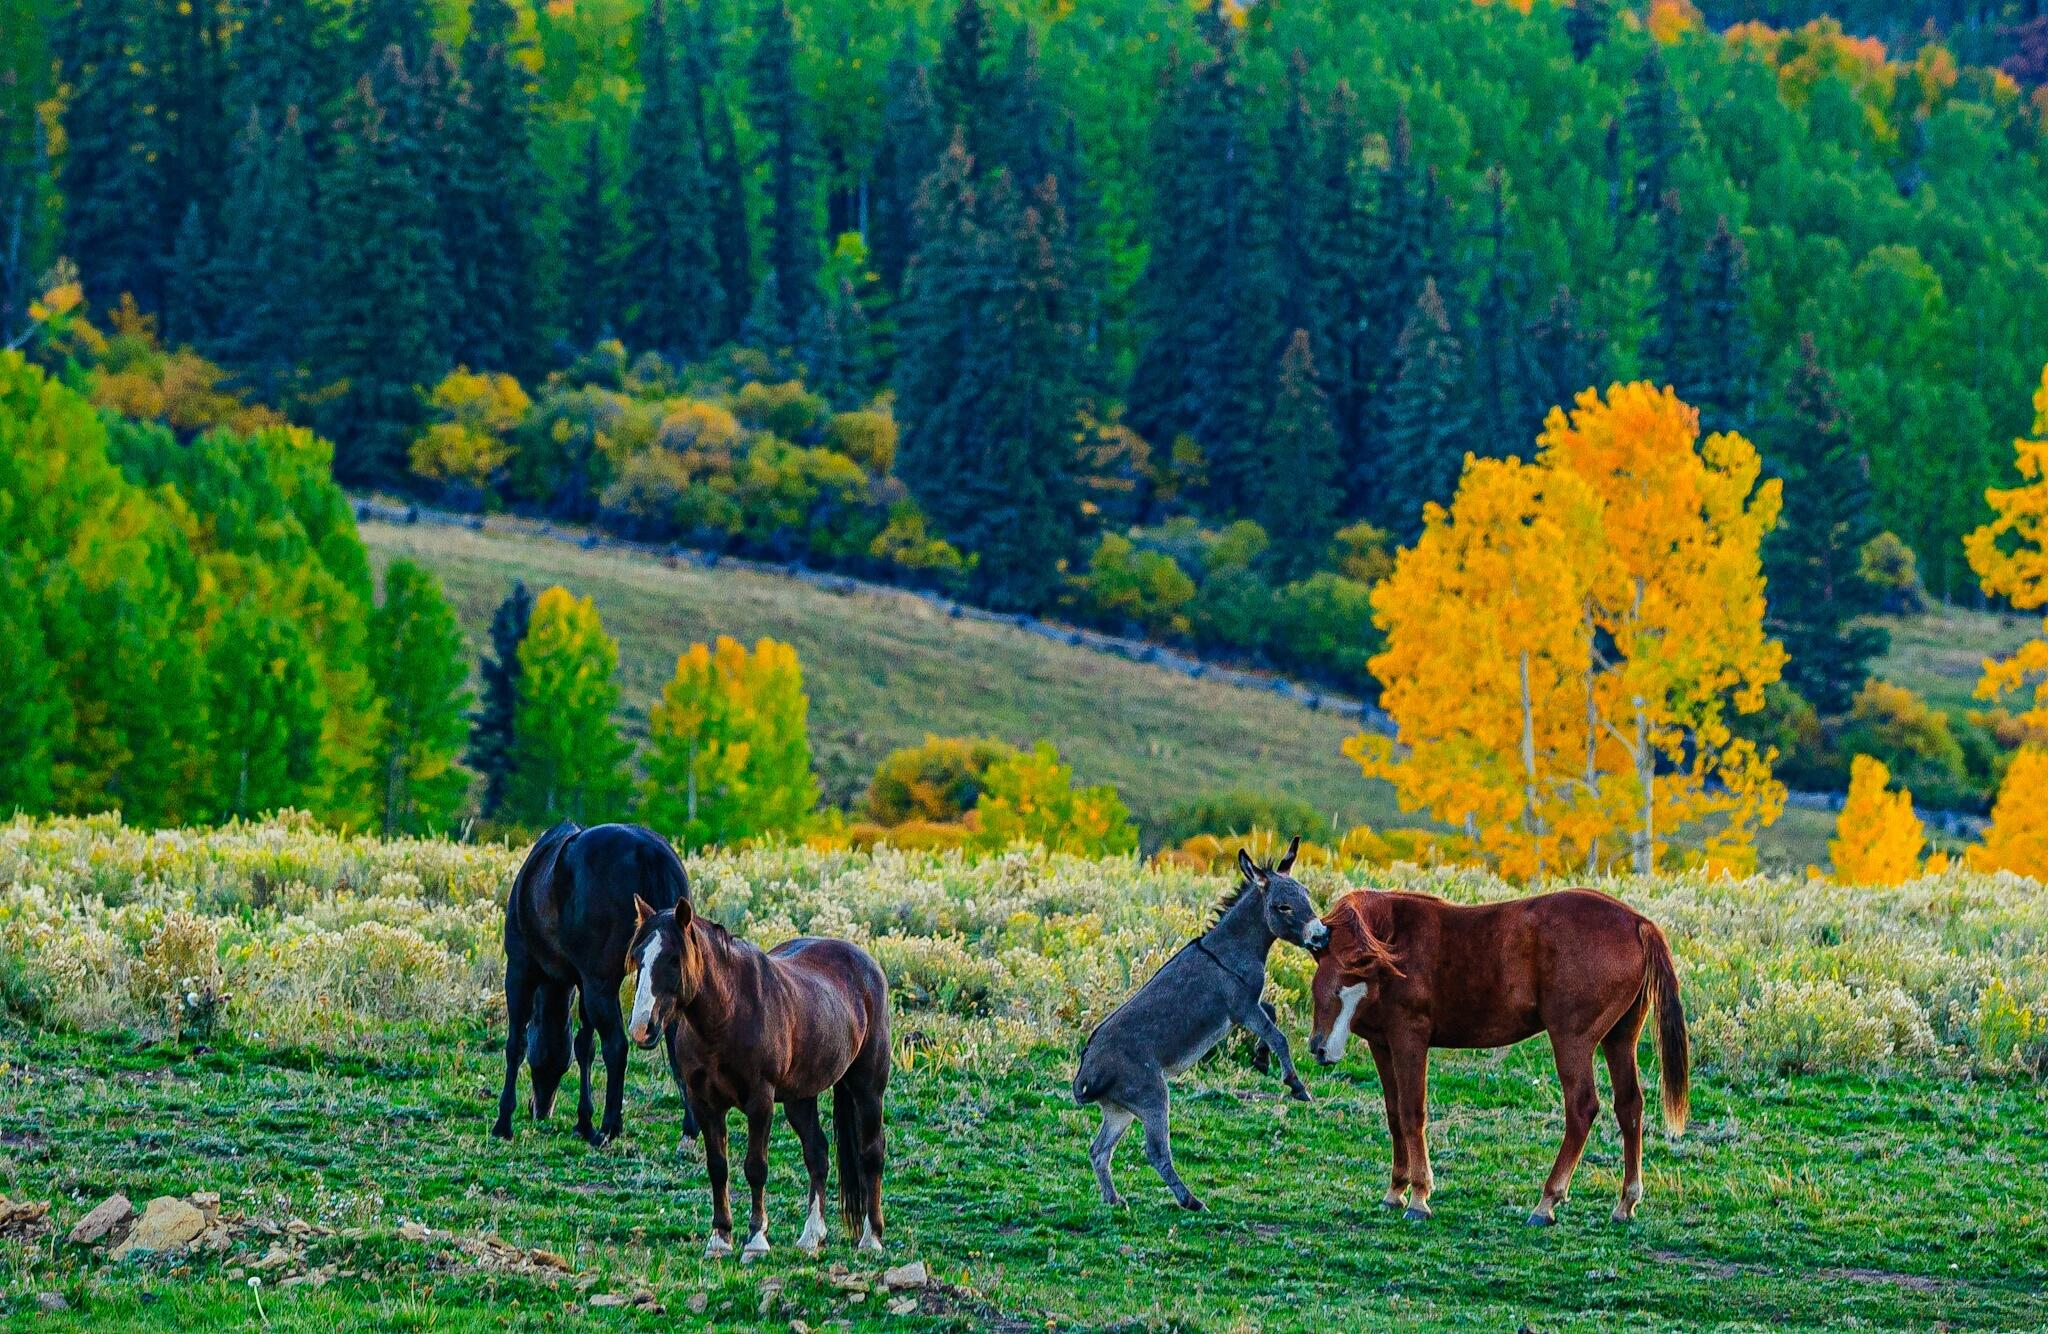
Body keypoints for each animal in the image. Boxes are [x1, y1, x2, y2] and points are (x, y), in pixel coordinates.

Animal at [492, 821, 695, 1147]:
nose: (540, 1110)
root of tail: (647, 850)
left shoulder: (520, 970)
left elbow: (516, 1044)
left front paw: (503, 1122)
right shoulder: (581, 982)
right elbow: (584, 1046)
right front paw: (583, 1121)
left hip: (599, 985)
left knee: (616, 1046)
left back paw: (609, 1127)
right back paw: (689, 1129)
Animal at [626, 895, 891, 1260]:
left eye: (673, 958)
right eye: (638, 957)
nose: (642, 1028)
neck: (728, 1014)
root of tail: (867, 964)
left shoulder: (760, 1101)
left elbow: (755, 1167)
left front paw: (755, 1240)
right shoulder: (704, 1103)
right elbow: (718, 1167)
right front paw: (720, 1238)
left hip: (867, 1089)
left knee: (871, 1153)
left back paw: (872, 1238)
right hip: (800, 1098)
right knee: (817, 1154)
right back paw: (811, 1236)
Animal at [1072, 838, 1330, 1211]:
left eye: (1307, 895)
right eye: (1282, 906)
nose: (1322, 937)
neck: (1233, 947)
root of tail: (1087, 1072)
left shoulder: (1246, 1006)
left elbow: (1272, 1014)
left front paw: (1260, 1059)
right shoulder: (1241, 1007)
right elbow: (1279, 1034)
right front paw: (1296, 1086)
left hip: (1120, 1109)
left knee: (1099, 1150)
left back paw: (1114, 1199)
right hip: (1152, 1096)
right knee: (1155, 1152)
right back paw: (1191, 1201)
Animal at [1306, 887, 1690, 1226]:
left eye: (1353, 975)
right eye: (1320, 982)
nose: (1320, 1048)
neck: (1396, 939)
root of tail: (1638, 922)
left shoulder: (1409, 1040)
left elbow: (1412, 1113)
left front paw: (1418, 1197)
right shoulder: (1383, 1046)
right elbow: (1394, 1113)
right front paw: (1395, 1190)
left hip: (1572, 1040)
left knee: (1582, 1108)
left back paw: (1547, 1202)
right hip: (1620, 1038)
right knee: (1629, 1106)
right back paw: (1625, 1202)